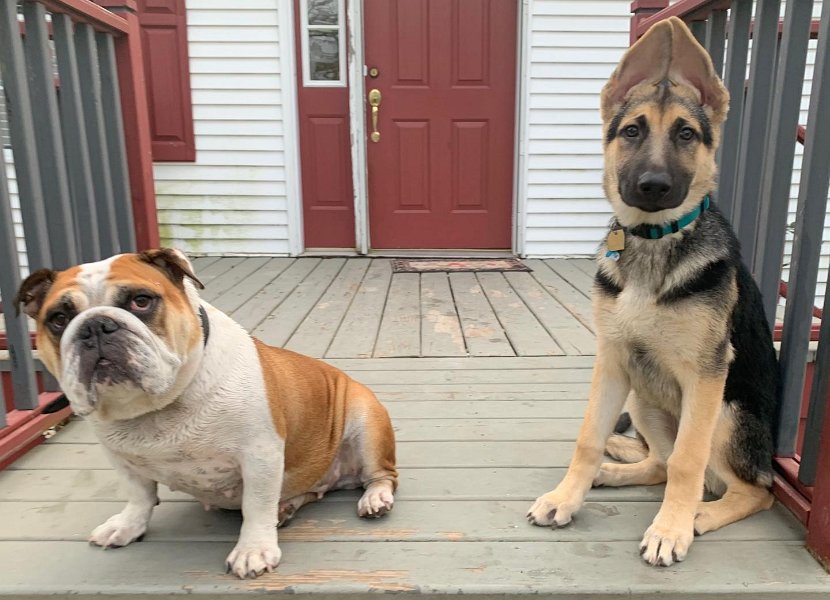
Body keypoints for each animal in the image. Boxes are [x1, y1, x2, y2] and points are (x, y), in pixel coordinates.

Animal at [15, 248, 400, 576]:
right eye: (59, 318)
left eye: (141, 301)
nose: (95, 325)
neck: (158, 406)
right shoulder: (121, 458)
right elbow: (139, 496)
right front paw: (127, 526)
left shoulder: (259, 454)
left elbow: (256, 504)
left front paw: (253, 549)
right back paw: (287, 507)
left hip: (366, 422)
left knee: (381, 474)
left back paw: (374, 498)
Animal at [528, 15, 784, 568]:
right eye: (632, 131)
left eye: (686, 133)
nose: (652, 185)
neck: (653, 241)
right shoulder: (613, 359)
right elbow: (589, 436)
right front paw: (567, 496)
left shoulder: (707, 376)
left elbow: (688, 460)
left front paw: (671, 529)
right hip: (644, 395)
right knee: (660, 463)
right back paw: (613, 471)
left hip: (726, 413)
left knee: (753, 489)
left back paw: (699, 515)